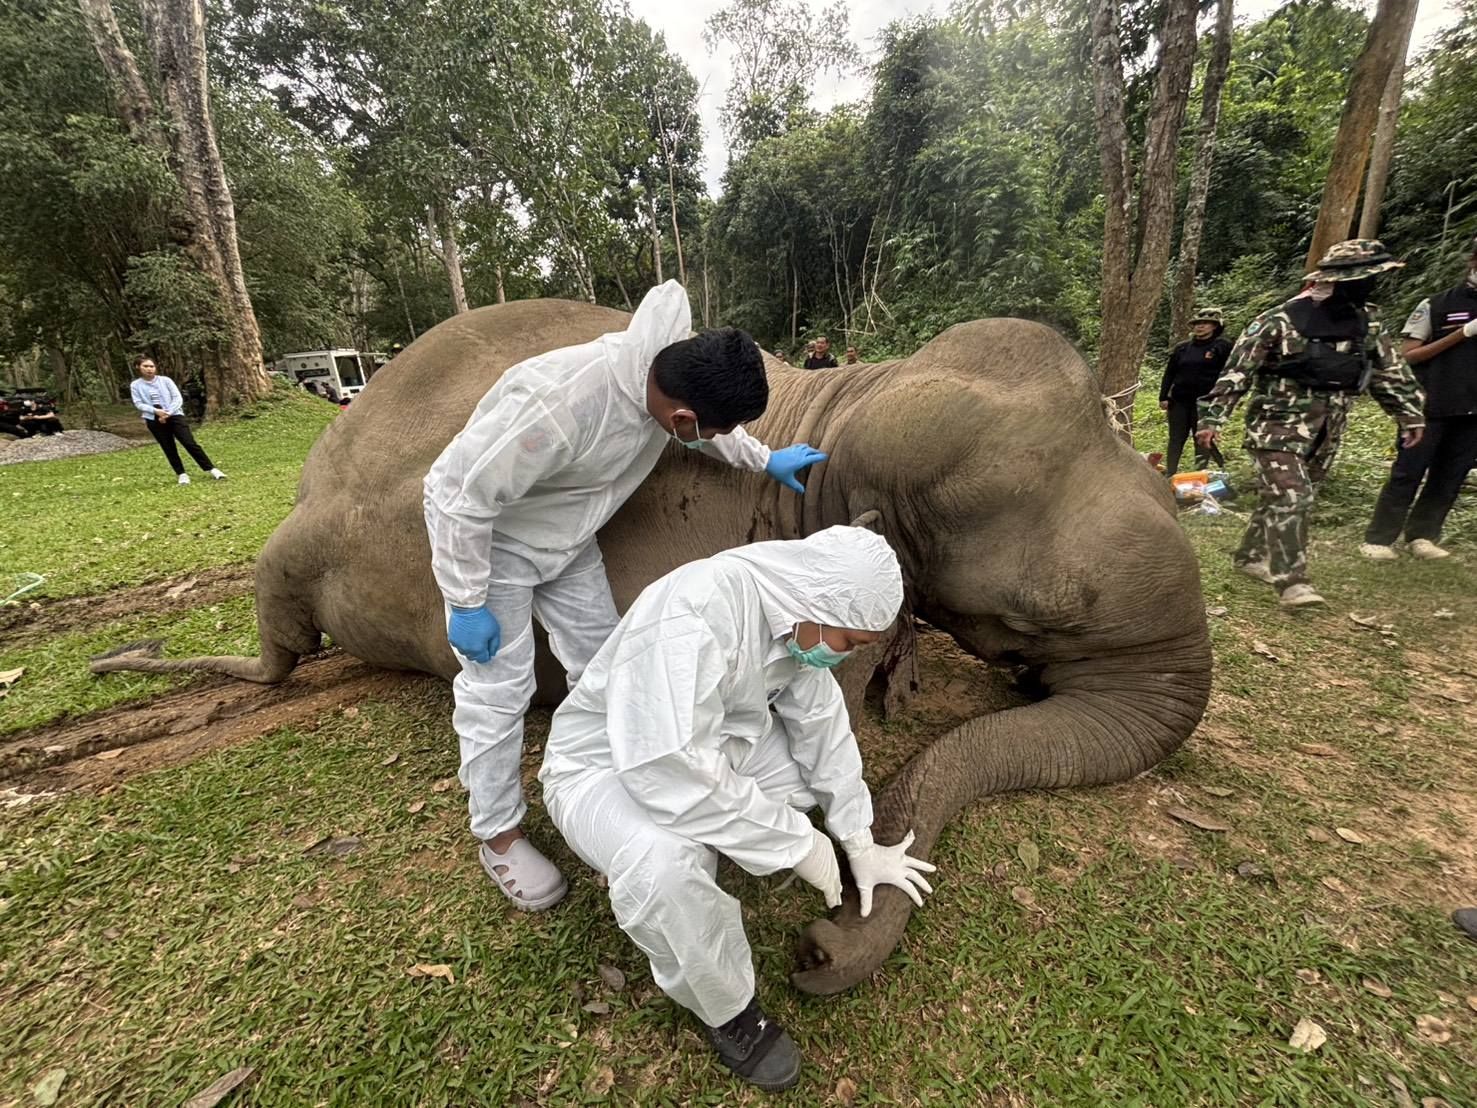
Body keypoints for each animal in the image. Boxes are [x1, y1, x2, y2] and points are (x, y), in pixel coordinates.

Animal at [92, 298, 1212, 995]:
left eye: (1171, 496)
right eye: (1035, 616)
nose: (816, 950)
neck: (851, 398)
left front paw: (896, 696)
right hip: (366, 561)